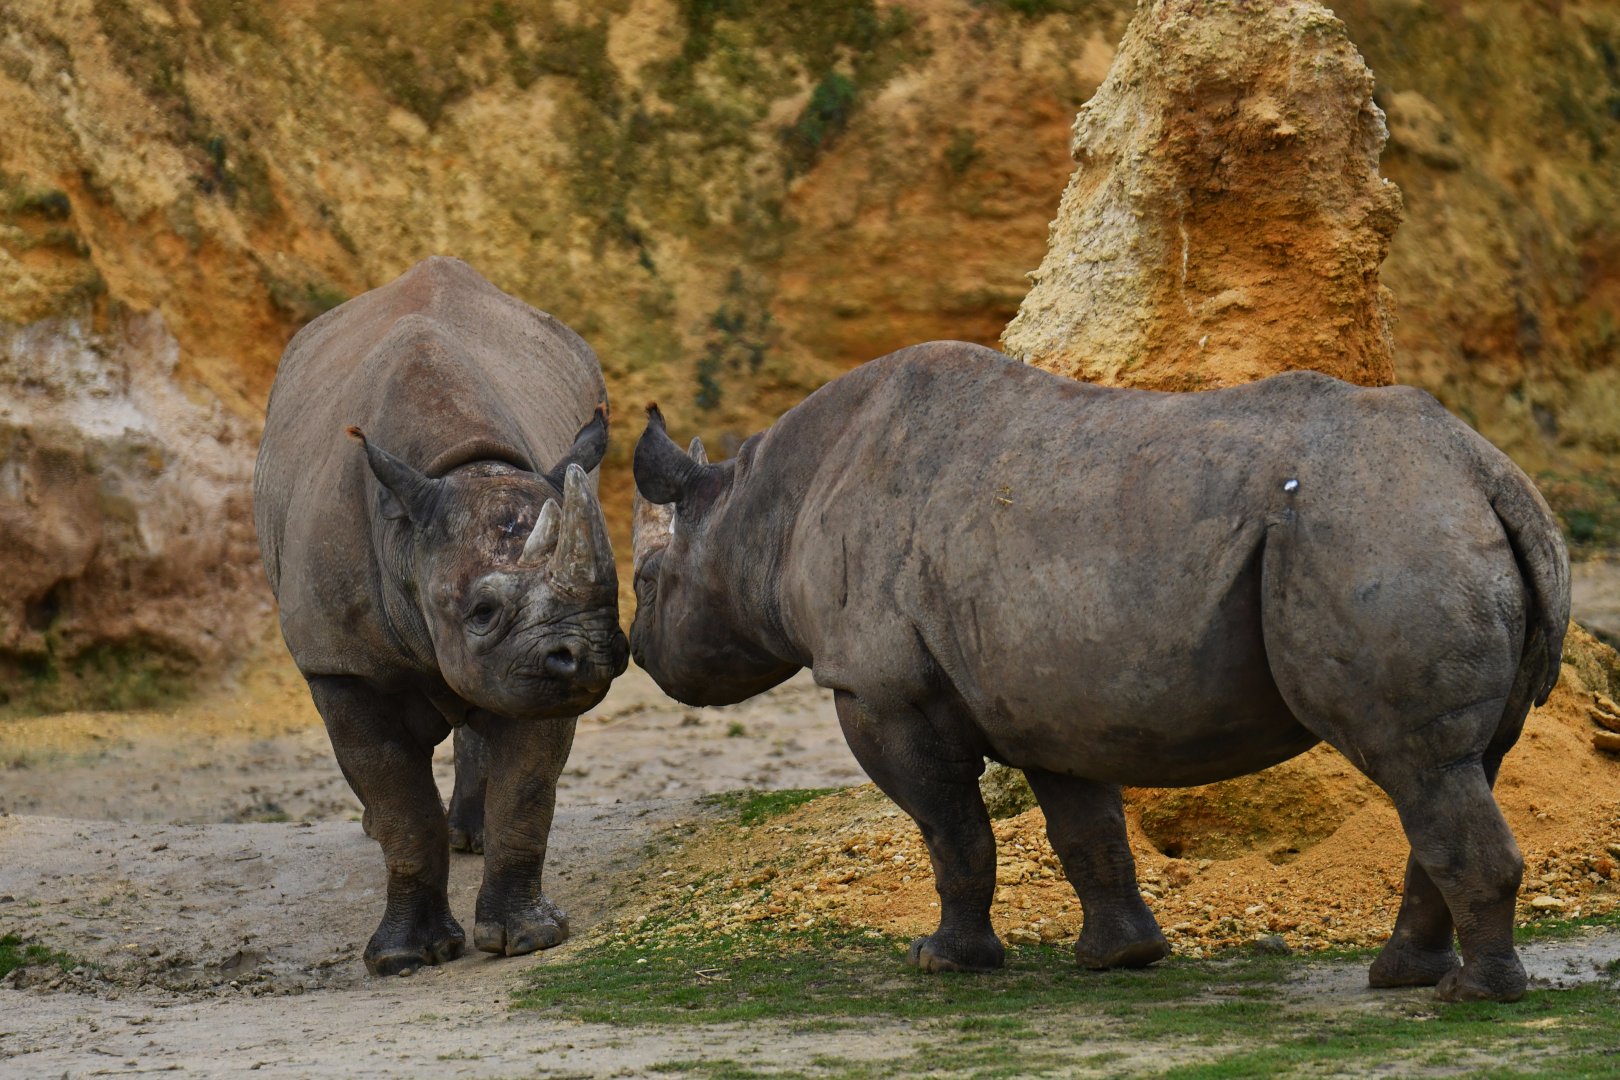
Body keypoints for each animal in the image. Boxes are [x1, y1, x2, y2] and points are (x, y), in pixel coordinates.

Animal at [254, 257, 628, 976]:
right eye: (480, 611)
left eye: (616, 593)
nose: (589, 654)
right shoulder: (340, 664)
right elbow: (401, 807)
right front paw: (405, 958)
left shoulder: (539, 671)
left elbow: (527, 794)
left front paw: (526, 939)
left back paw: (469, 837)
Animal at [629, 341, 1569, 1003]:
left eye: (645, 584)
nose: (639, 653)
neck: (756, 511)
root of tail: (1490, 474)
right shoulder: (1044, 692)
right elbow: (1085, 829)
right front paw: (1122, 958)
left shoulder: (879, 688)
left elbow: (951, 829)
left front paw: (943, 963)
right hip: (1422, 523)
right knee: (1460, 767)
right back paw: (1404, 978)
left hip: (1379, 529)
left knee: (1419, 765)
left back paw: (1469, 997)